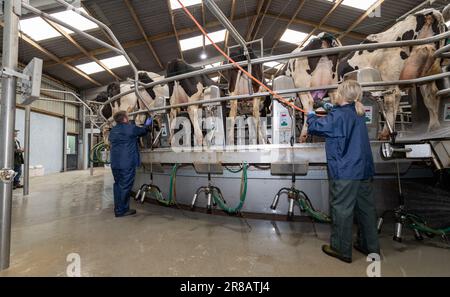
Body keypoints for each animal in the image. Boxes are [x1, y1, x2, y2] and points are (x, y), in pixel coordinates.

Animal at [338, 4, 450, 139]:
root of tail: (429, 12)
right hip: (427, 69)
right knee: (430, 94)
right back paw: (433, 127)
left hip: (389, 73)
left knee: (392, 97)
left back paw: (385, 133)